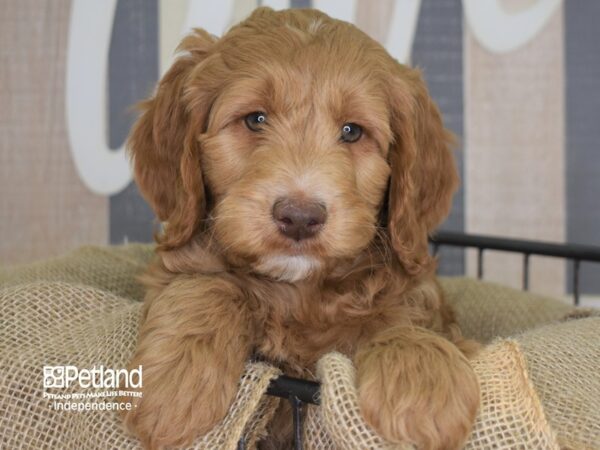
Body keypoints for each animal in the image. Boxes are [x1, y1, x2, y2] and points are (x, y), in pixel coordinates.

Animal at [120, 7, 478, 450]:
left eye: (352, 131)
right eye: (255, 119)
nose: (300, 216)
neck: (298, 292)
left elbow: (402, 318)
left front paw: (421, 386)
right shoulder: (178, 263)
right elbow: (207, 284)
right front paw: (175, 384)